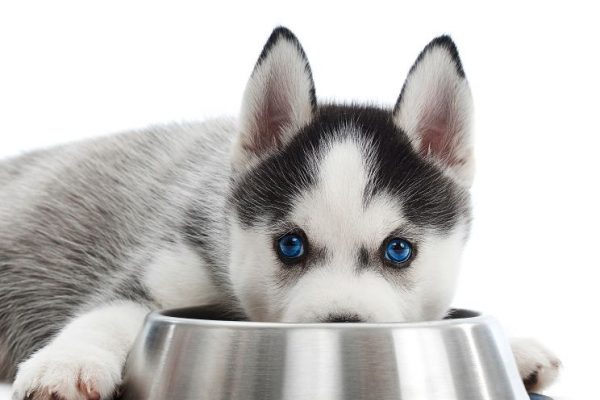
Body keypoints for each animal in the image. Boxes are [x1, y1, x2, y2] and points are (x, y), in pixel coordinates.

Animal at [2, 26, 560, 398]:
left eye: (399, 250)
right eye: (290, 245)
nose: (343, 326)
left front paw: (515, 347)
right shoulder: (166, 262)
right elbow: (109, 315)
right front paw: (67, 364)